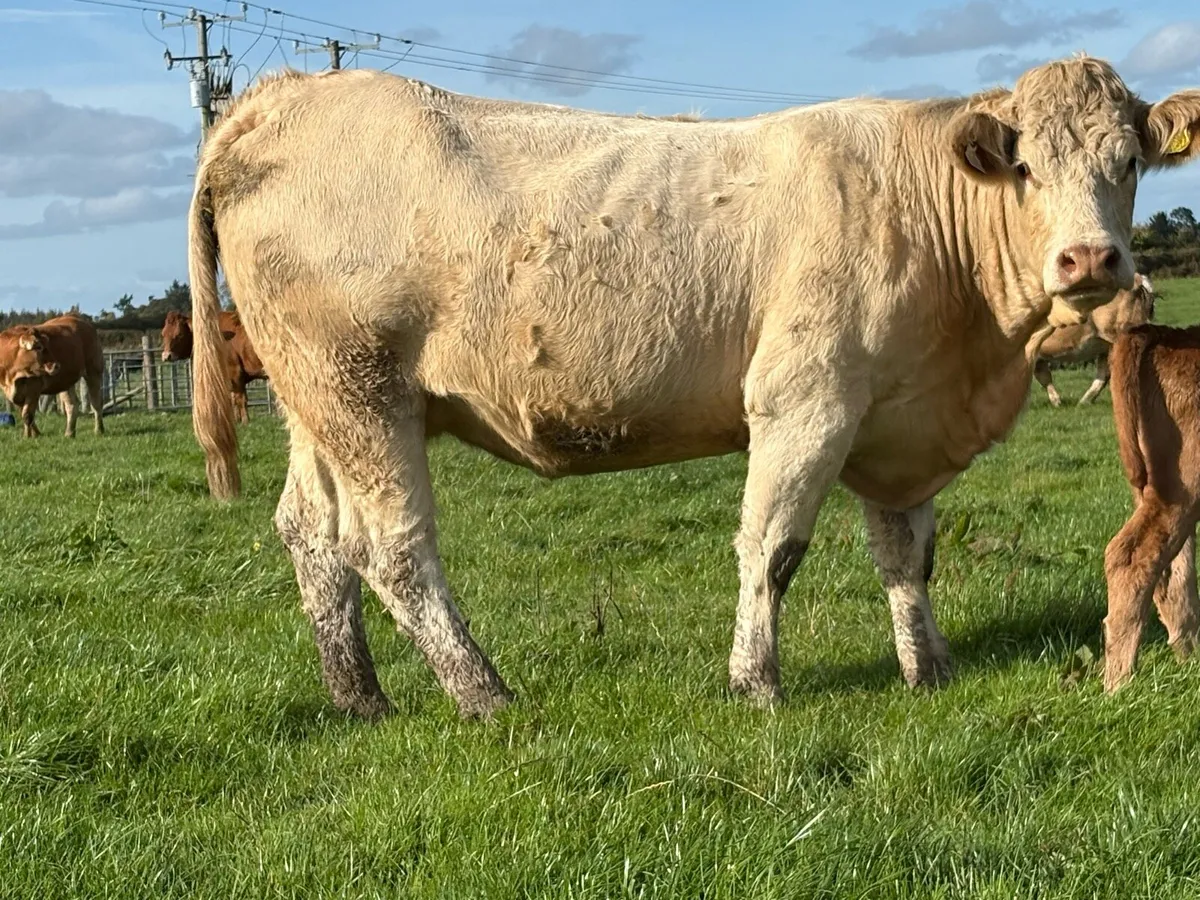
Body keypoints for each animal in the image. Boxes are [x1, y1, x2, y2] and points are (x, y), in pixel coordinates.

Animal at [1034, 273, 1158, 407]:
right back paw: (1084, 401)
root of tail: (1138, 277)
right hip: (1107, 345)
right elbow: (1044, 377)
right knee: (1104, 374)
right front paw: (1057, 402)